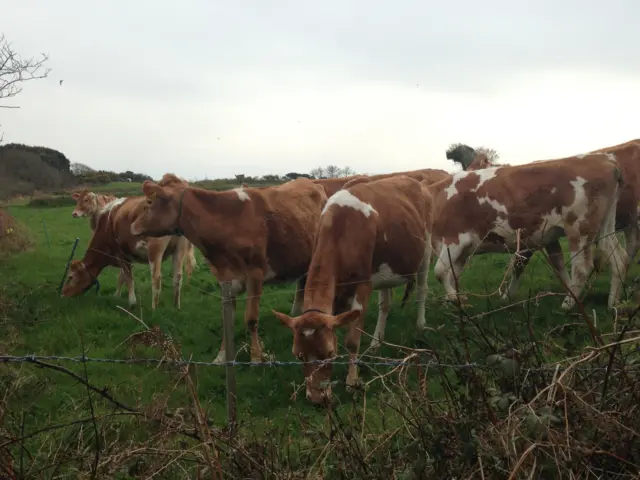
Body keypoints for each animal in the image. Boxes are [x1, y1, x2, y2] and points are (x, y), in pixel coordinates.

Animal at [63, 178, 198, 310]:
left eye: (70, 277)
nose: (63, 294)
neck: (106, 224)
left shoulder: (120, 255)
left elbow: (127, 278)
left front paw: (131, 302)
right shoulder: (127, 256)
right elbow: (122, 277)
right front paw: (117, 295)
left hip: (154, 250)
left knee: (156, 279)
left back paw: (154, 309)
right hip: (179, 249)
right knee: (178, 277)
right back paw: (176, 307)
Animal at [131, 176, 330, 364]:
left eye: (149, 201)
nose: (132, 226)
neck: (228, 222)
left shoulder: (255, 274)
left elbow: (251, 319)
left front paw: (255, 357)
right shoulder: (225, 278)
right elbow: (228, 320)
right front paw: (221, 357)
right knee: (302, 282)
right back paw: (297, 312)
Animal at [272, 174, 432, 404]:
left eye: (329, 353)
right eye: (298, 355)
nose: (317, 399)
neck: (340, 231)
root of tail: (414, 180)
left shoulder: (363, 285)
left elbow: (352, 340)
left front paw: (352, 381)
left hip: (425, 249)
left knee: (422, 289)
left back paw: (420, 324)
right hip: (385, 268)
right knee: (385, 303)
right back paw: (376, 343)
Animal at [428, 154, 628, 312]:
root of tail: (605, 161)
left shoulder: (454, 240)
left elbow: (439, 272)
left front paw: (454, 299)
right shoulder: (463, 250)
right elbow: (452, 275)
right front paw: (455, 300)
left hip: (579, 228)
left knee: (582, 268)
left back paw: (568, 304)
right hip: (604, 227)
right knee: (618, 257)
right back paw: (613, 303)